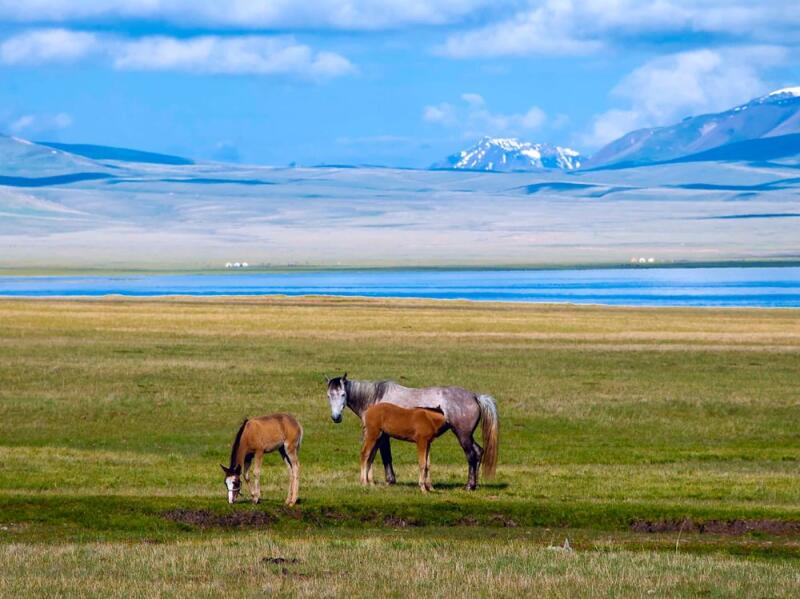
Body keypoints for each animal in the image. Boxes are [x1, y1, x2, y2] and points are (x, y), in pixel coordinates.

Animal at [326, 373, 498, 490]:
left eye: (343, 394)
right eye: (328, 396)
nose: (336, 417)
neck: (376, 398)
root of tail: (475, 396)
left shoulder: (382, 436)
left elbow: (385, 456)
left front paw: (389, 481)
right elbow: (373, 456)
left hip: (462, 435)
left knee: (471, 455)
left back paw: (469, 485)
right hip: (467, 435)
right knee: (478, 451)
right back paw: (474, 484)